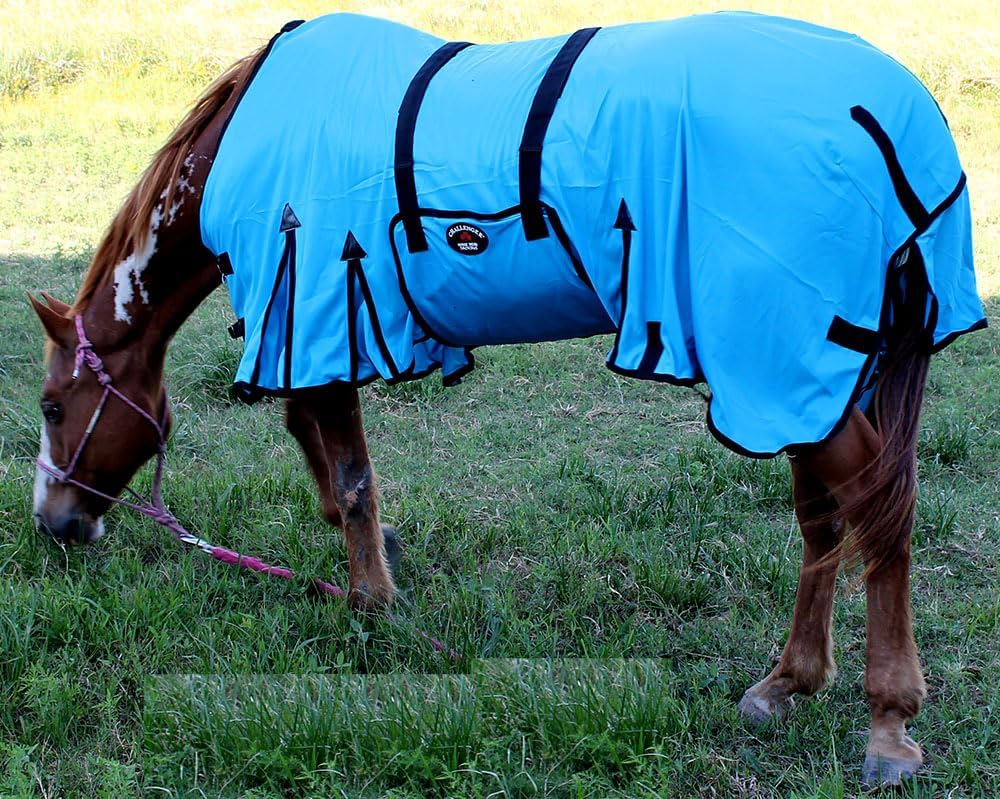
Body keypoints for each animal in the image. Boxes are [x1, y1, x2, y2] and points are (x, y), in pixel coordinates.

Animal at [28, 12, 986, 786]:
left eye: (50, 407)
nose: (55, 522)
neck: (252, 136)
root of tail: (889, 113)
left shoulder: (320, 314)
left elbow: (348, 474)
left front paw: (373, 603)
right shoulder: (315, 334)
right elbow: (322, 454)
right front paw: (376, 564)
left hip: (778, 363)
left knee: (880, 514)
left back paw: (889, 722)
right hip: (815, 378)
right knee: (826, 520)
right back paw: (788, 681)